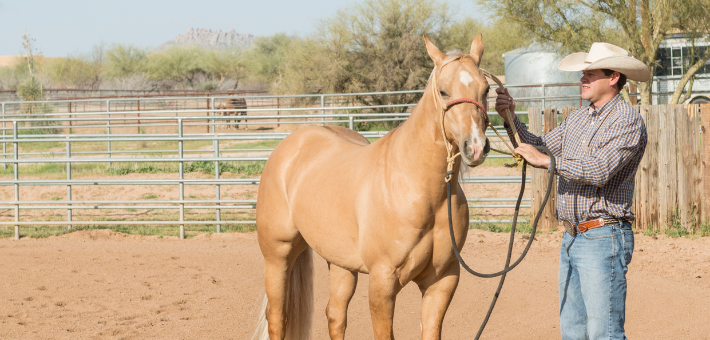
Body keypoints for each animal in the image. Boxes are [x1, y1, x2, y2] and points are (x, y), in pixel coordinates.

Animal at [256, 35, 496, 338]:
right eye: (443, 91)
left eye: (486, 89)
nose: (475, 147)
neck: (417, 188)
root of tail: (290, 144)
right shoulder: (383, 281)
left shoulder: (443, 279)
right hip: (277, 256)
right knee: (277, 317)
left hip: (340, 264)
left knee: (335, 316)